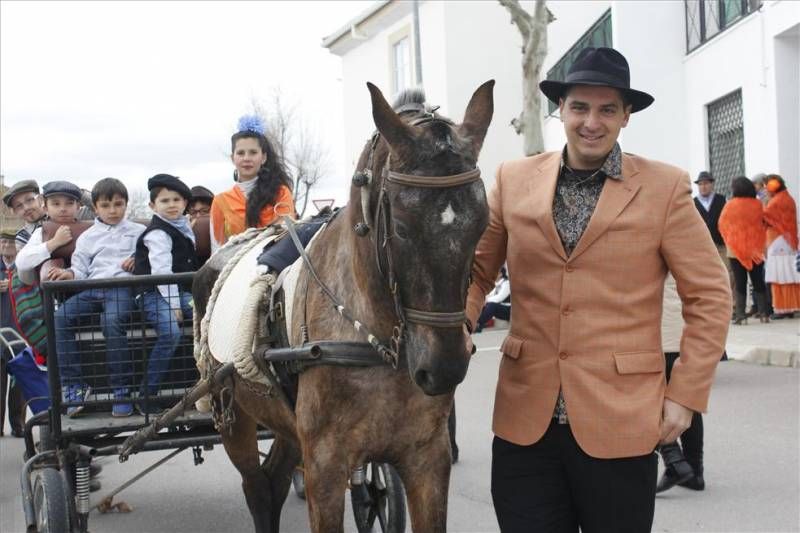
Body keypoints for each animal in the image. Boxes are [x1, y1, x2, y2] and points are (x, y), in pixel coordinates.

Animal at [194, 80, 494, 532]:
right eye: (400, 226)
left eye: (482, 223)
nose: (443, 368)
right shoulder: (325, 466)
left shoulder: (428, 458)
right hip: (234, 417)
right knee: (258, 490)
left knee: (275, 481)